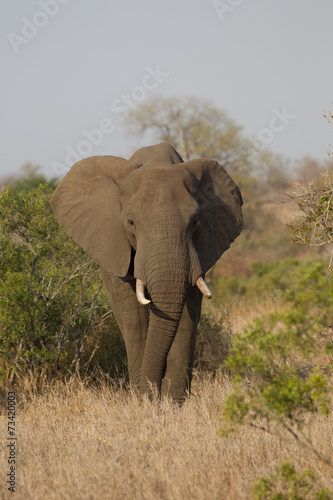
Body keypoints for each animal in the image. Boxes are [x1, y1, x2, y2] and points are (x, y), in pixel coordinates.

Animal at [49, 141, 243, 402]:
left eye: (195, 222)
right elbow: (135, 319)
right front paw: (145, 402)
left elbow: (186, 317)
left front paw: (172, 404)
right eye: (130, 222)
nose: (153, 395)